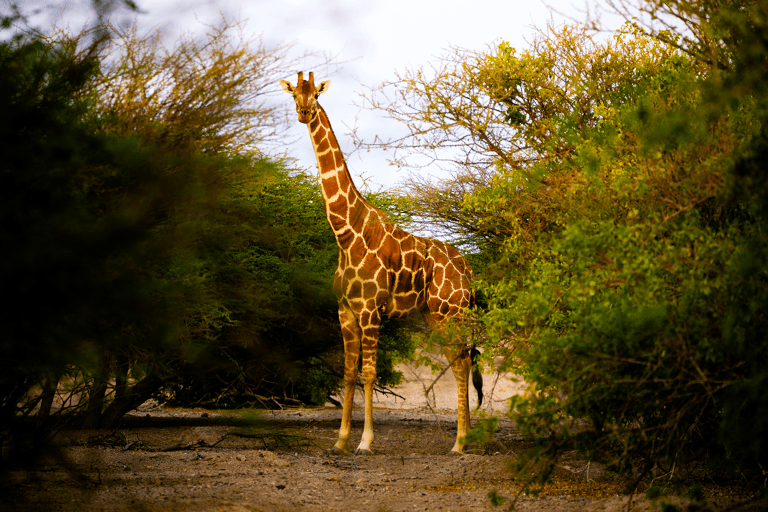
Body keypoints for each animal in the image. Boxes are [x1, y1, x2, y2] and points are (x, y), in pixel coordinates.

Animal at [279, 71, 479, 454]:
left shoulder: (372, 311)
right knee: (459, 362)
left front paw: (365, 442)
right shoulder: (345, 311)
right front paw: (340, 440)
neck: (346, 232)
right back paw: (463, 440)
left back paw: (460, 444)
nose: (303, 112)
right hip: (435, 316)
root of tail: (468, 269)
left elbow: (370, 373)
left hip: (451, 313)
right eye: (295, 93)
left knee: (462, 361)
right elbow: (348, 373)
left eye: (317, 95)